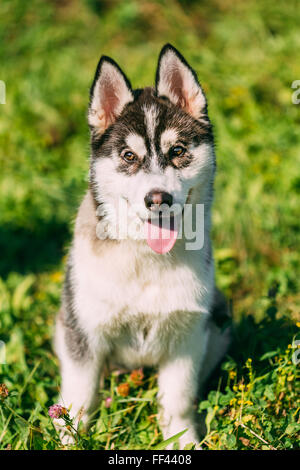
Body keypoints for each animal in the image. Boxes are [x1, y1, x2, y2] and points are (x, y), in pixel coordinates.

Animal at [54, 44, 231, 448]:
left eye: (178, 150)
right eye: (129, 156)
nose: (158, 198)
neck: (145, 259)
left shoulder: (187, 336)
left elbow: (177, 399)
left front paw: (182, 439)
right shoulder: (83, 331)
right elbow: (78, 398)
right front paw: (69, 438)